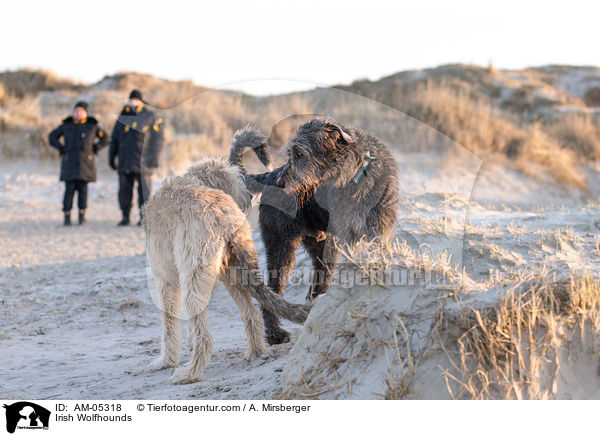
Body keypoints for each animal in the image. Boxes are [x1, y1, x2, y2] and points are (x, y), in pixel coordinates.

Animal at [230, 118, 398, 344]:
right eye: (290, 153)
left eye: (300, 153)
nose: (281, 183)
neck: (355, 175)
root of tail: (269, 176)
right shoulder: (341, 237)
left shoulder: (379, 231)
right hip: (283, 246)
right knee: (274, 288)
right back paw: (275, 332)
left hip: (317, 242)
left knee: (316, 278)